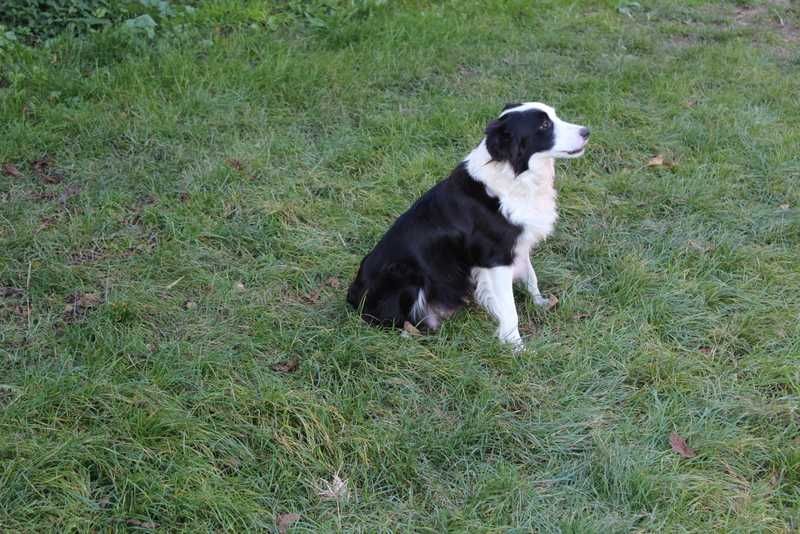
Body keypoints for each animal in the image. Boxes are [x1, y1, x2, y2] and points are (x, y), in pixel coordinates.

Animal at [348, 102, 588, 350]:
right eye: (544, 125)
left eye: (554, 116)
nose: (586, 132)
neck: (514, 176)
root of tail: (353, 296)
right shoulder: (495, 258)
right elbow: (509, 308)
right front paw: (515, 346)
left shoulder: (518, 245)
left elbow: (531, 277)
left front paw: (540, 303)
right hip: (405, 274)